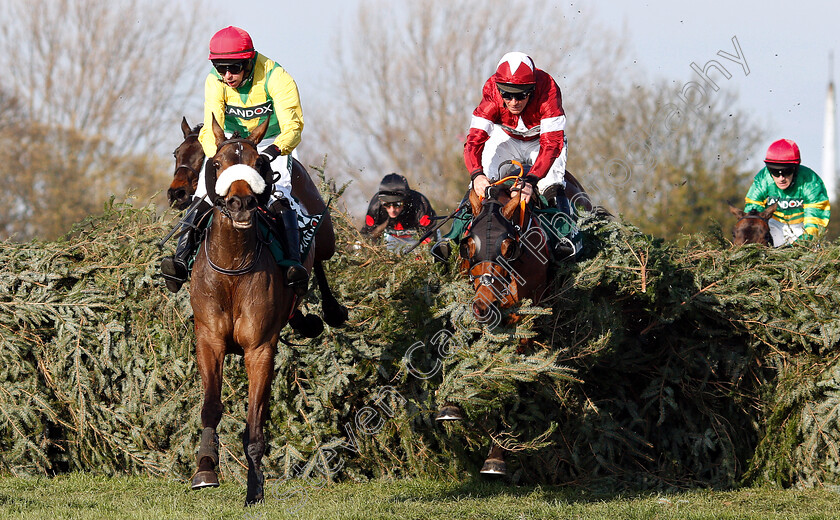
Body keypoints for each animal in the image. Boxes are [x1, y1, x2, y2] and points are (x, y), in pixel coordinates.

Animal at [190, 116, 344, 506]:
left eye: (259, 163)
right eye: (217, 164)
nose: (242, 203)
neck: (233, 265)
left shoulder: (260, 349)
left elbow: (255, 425)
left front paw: (255, 489)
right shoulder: (209, 340)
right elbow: (211, 407)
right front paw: (206, 468)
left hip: (326, 234)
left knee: (318, 261)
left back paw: (327, 310)